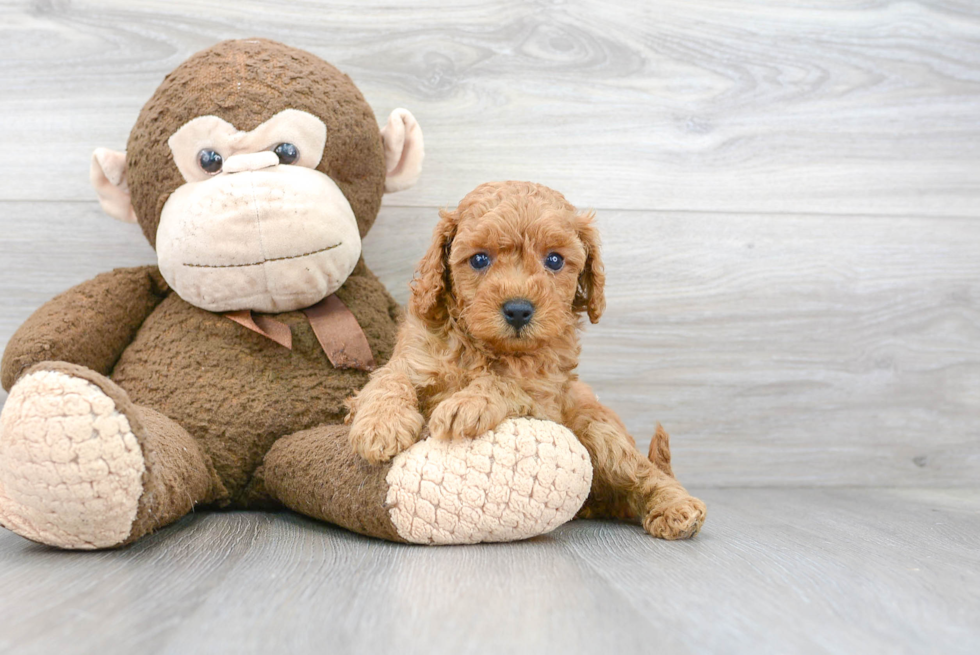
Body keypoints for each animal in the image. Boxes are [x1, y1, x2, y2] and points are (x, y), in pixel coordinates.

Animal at [344, 182, 704, 540]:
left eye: (555, 260)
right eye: (479, 259)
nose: (518, 310)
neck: (487, 348)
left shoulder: (546, 398)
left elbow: (506, 384)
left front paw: (467, 404)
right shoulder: (414, 357)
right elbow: (388, 380)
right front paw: (381, 426)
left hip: (599, 431)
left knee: (643, 473)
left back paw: (676, 508)